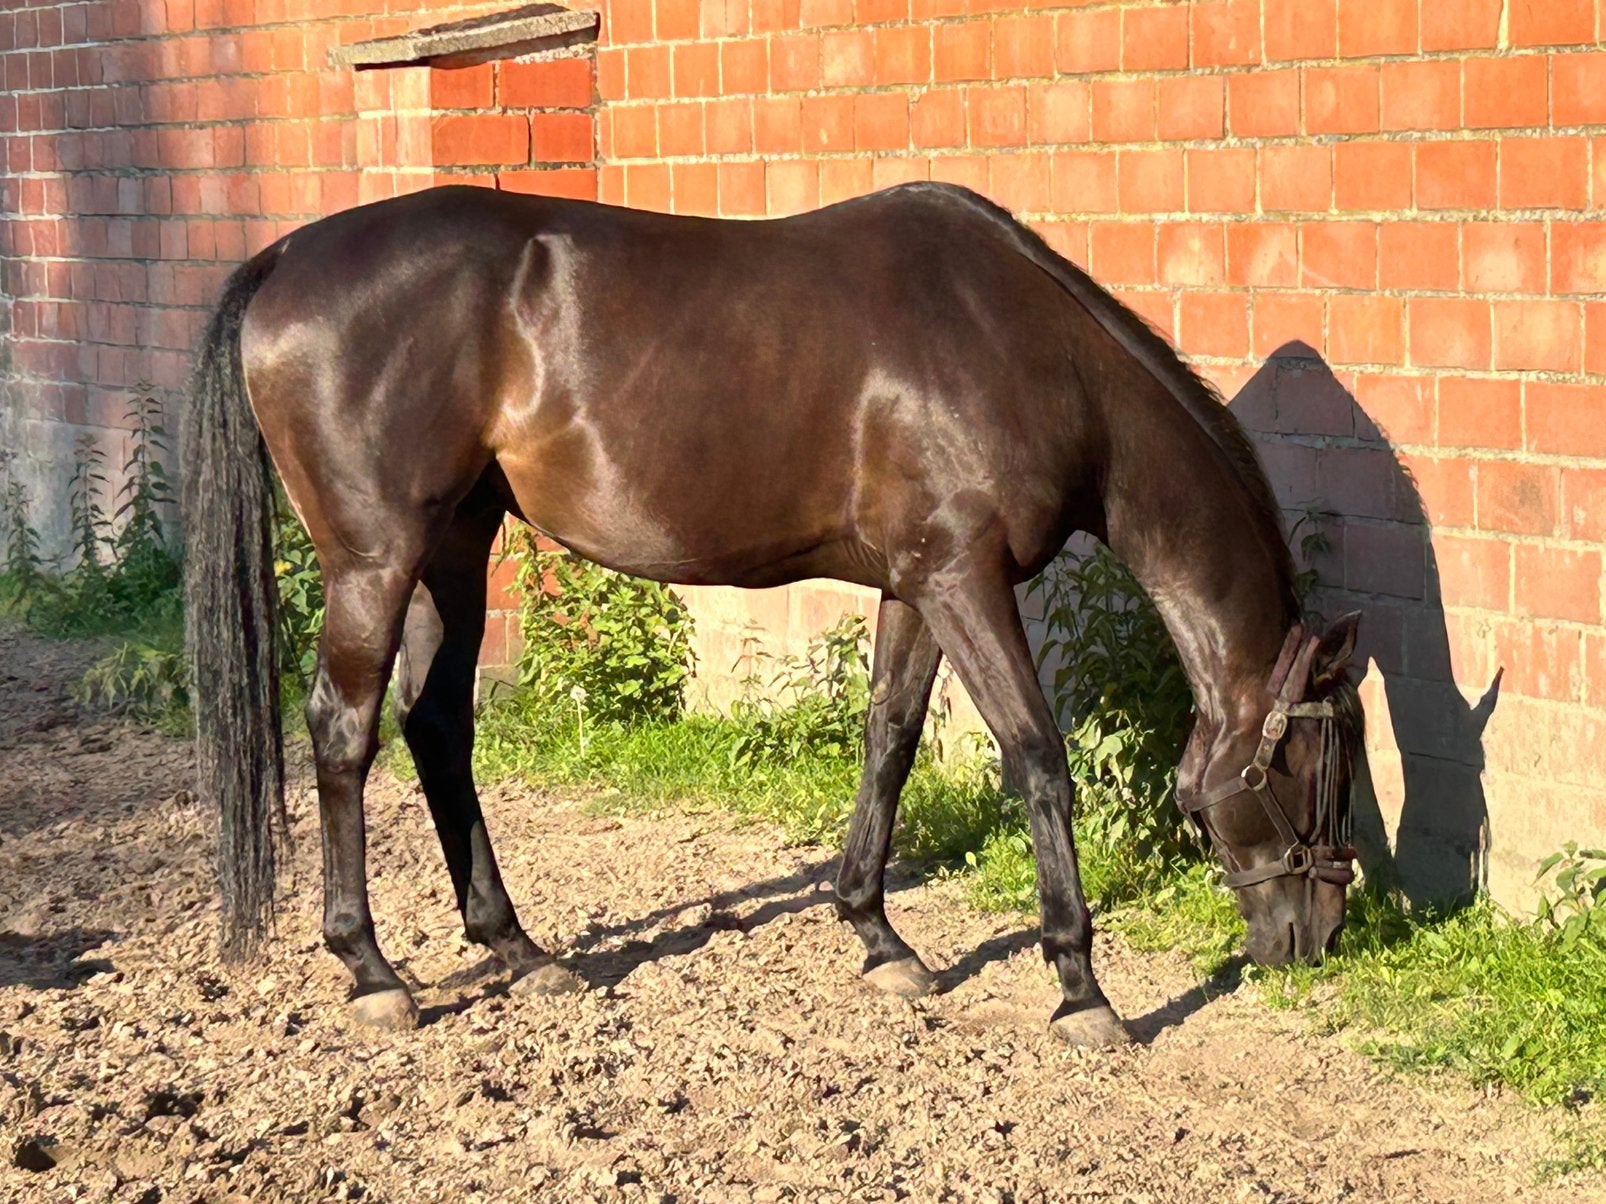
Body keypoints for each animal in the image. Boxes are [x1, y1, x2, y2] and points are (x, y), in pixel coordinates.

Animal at [182, 182, 1362, 1046]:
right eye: (1322, 768)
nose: (1316, 935)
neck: (1026, 349)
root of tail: (286, 258)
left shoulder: (918, 584)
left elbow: (888, 741)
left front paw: (880, 939)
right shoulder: (965, 579)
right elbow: (1037, 756)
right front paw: (1081, 987)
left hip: (456, 550)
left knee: (435, 725)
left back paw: (519, 950)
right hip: (375, 562)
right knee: (343, 733)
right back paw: (372, 970)